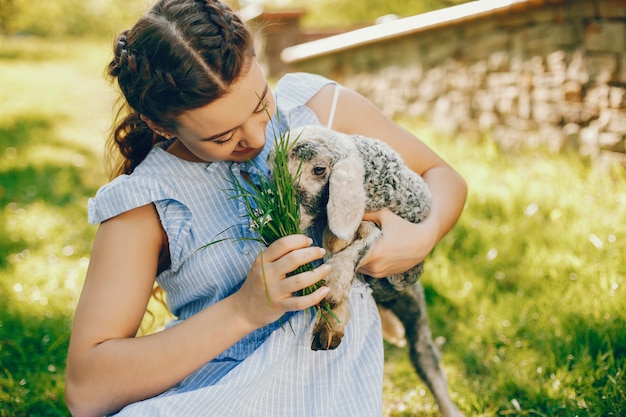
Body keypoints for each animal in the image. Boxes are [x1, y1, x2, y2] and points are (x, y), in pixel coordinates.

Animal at [272, 123, 464, 416]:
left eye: (319, 169)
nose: (288, 214)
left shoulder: (378, 229)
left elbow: (353, 251)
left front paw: (333, 291)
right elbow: (335, 253)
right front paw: (331, 323)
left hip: (415, 315)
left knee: (427, 362)